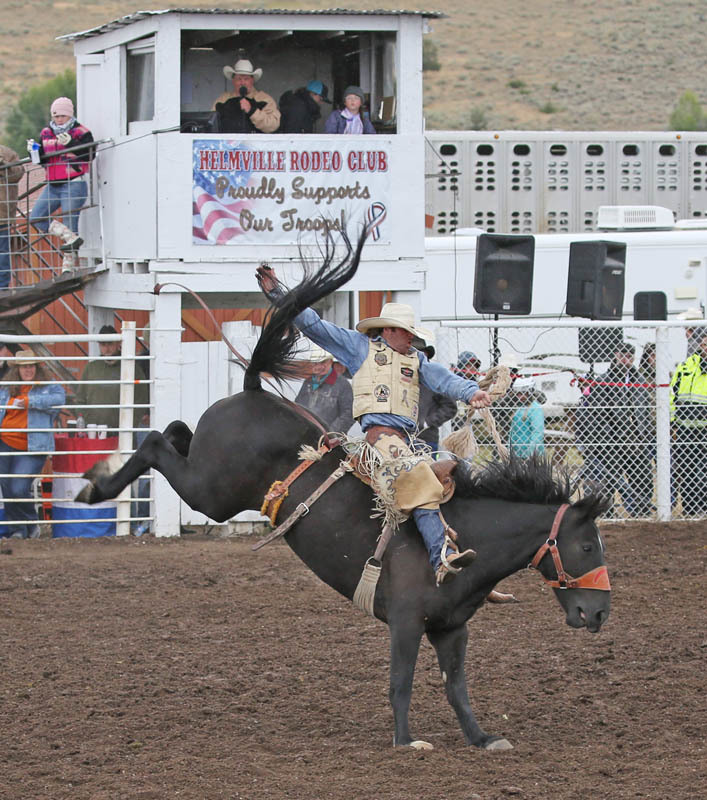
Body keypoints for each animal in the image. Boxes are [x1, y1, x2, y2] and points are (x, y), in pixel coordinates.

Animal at [76, 230, 608, 752]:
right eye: (586, 546)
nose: (599, 612)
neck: (470, 534)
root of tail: (251, 388)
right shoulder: (406, 621)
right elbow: (401, 681)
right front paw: (405, 741)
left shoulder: (452, 628)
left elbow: (456, 686)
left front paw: (481, 737)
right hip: (212, 491)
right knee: (154, 441)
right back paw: (96, 487)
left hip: (208, 474)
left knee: (175, 430)